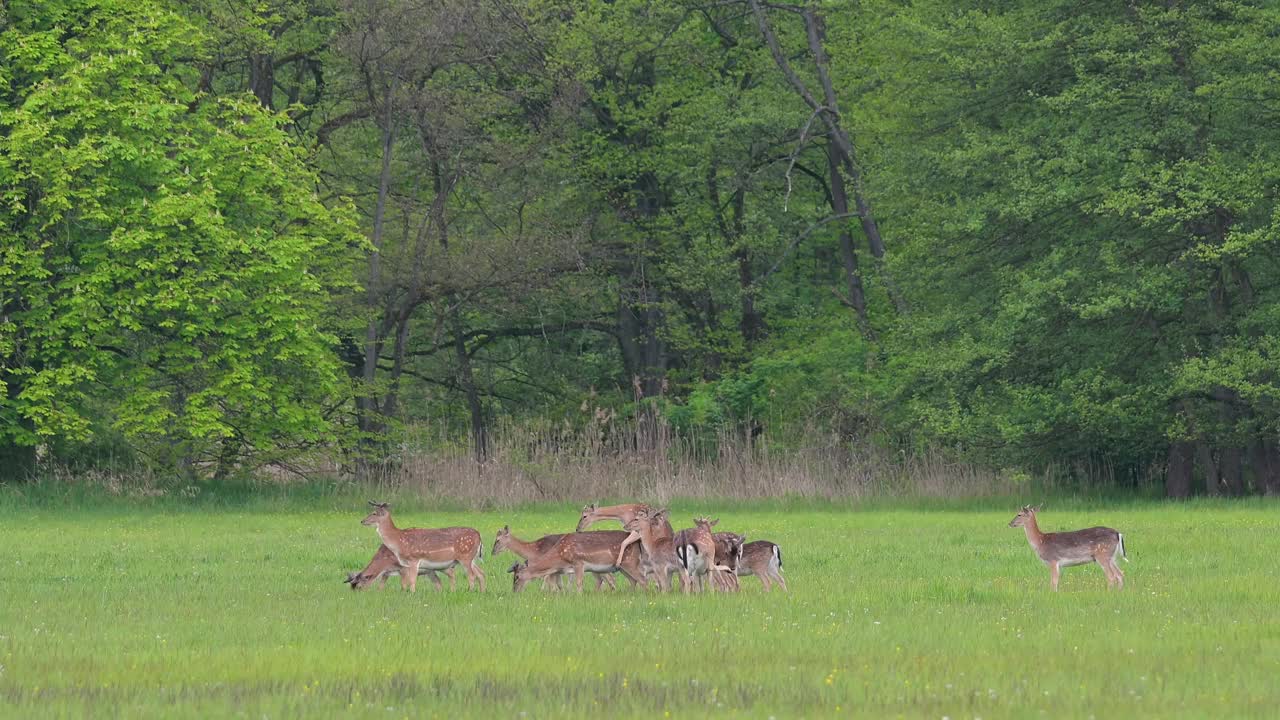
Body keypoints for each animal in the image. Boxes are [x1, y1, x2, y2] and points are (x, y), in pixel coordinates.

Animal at [509, 527, 645, 589]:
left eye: (517, 577)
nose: (515, 590)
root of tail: (638, 542)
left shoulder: (578, 562)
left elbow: (579, 583)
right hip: (621, 567)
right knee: (633, 581)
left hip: (630, 562)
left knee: (642, 579)